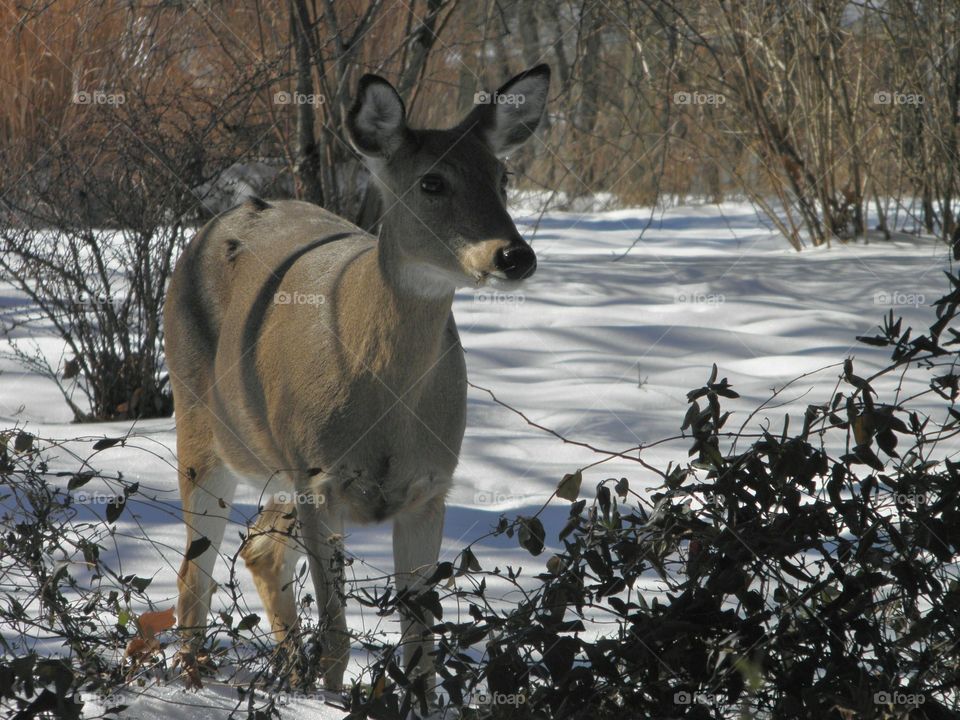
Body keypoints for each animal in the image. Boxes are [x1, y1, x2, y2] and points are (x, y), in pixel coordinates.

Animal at [163, 64, 550, 691]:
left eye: (503, 176)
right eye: (432, 182)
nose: (514, 256)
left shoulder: (429, 486)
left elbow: (420, 652)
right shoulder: (319, 480)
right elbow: (338, 643)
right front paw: (327, 695)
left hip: (281, 462)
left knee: (258, 549)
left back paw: (281, 671)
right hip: (200, 416)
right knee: (194, 572)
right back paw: (195, 679)